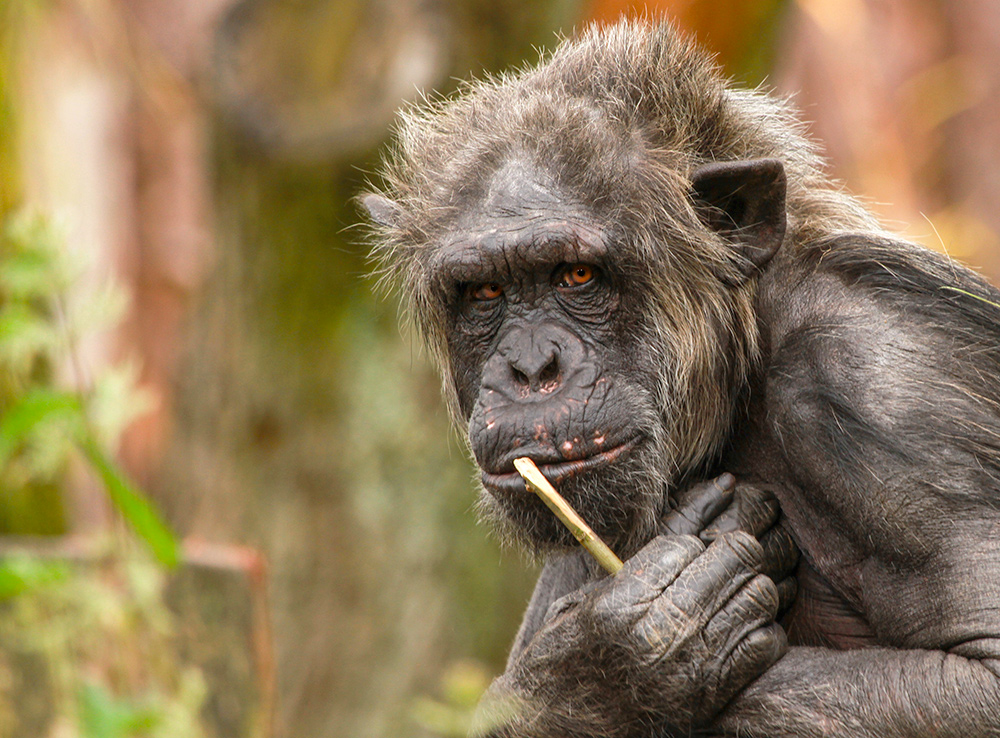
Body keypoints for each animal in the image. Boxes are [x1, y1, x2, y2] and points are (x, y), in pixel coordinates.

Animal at [360, 17, 1000, 736]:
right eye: (484, 291)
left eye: (577, 274)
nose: (530, 367)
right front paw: (619, 659)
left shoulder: (888, 391)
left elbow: (981, 675)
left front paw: (624, 654)